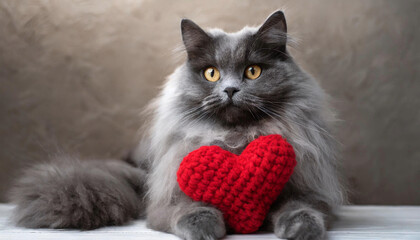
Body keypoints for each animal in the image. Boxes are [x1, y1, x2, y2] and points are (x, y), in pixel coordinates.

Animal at [9, 11, 344, 240]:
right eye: (211, 73)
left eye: (253, 71)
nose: (230, 90)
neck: (235, 139)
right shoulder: (166, 202)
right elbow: (188, 210)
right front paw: (206, 227)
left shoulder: (310, 192)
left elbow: (301, 208)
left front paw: (301, 229)